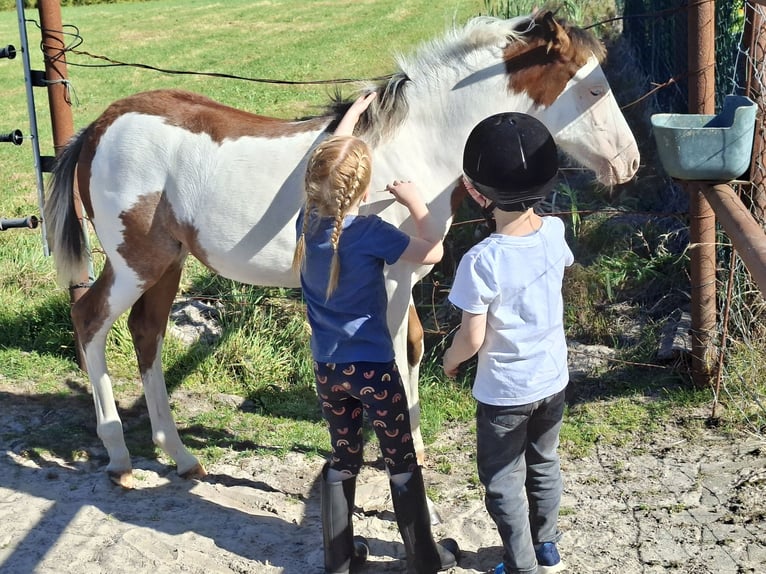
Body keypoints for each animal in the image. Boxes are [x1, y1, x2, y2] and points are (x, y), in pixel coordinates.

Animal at [45, 10, 640, 488]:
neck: (412, 146)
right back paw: (119, 456)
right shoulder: (393, 277)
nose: (629, 164)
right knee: (90, 318)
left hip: (168, 261)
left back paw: (181, 455)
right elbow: (395, 358)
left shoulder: (404, 278)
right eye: (592, 90)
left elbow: (412, 349)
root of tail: (99, 125)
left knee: (146, 334)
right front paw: (406, 453)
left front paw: (410, 442)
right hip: (134, 262)